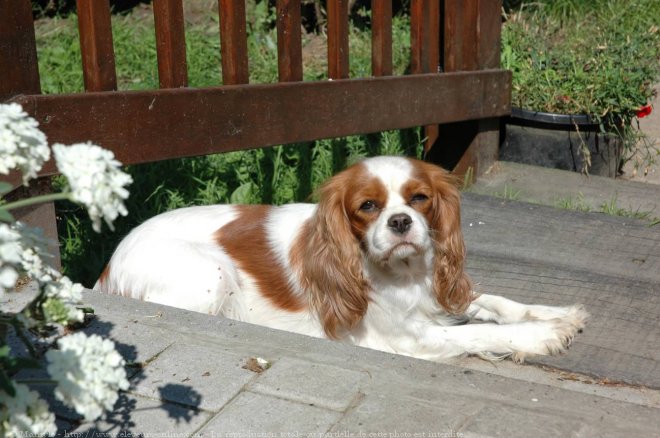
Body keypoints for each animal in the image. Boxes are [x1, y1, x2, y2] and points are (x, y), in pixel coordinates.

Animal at [95, 157, 584, 362]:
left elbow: (491, 302)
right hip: (209, 275)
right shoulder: (412, 339)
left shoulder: (440, 291)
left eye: (420, 198)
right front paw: (541, 336)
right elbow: (477, 333)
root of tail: (106, 268)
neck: (404, 273)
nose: (401, 222)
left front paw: (556, 314)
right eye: (368, 206)